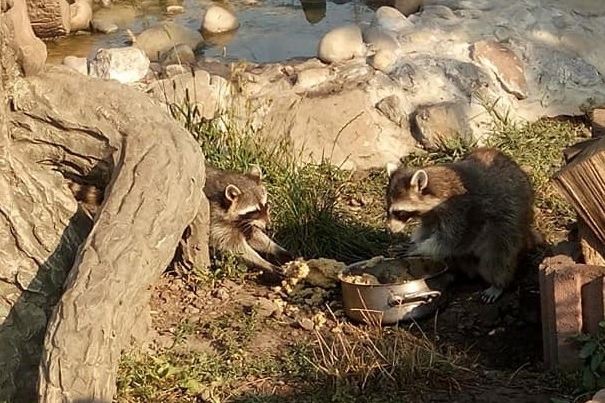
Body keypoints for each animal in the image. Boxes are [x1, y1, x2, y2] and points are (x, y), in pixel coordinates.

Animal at [384, 146, 536, 304]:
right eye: (387, 209)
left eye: (398, 212)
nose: (389, 228)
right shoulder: (431, 214)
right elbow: (428, 230)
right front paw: (415, 241)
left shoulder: (461, 210)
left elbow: (451, 241)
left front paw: (418, 248)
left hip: (508, 226)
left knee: (499, 257)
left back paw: (498, 284)